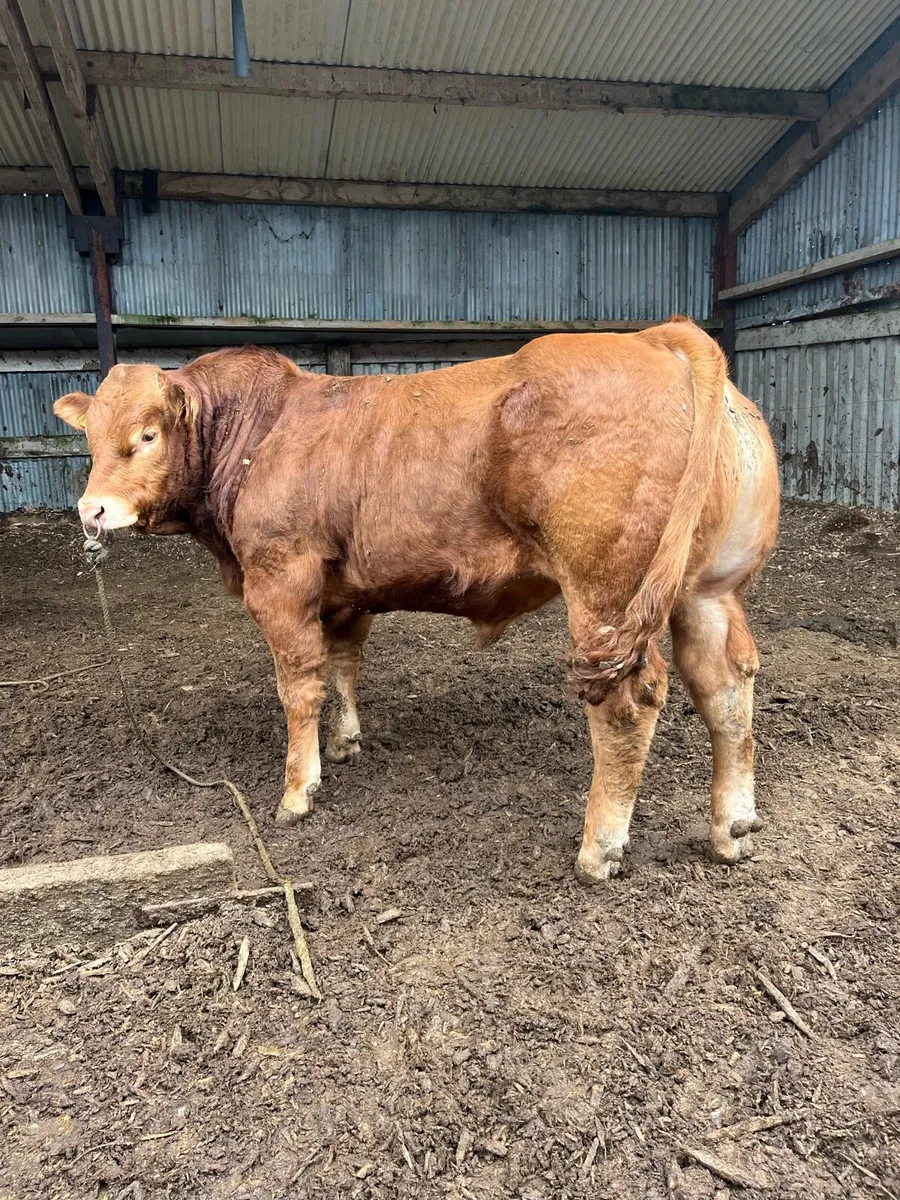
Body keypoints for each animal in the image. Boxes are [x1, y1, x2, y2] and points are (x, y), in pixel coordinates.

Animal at [54, 318, 779, 884]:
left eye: (147, 435)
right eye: (89, 436)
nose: (92, 510)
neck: (256, 434)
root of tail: (659, 339)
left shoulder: (281, 576)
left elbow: (299, 685)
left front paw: (298, 789)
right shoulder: (344, 592)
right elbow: (343, 666)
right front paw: (345, 740)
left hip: (607, 594)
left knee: (629, 703)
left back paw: (598, 849)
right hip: (708, 589)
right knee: (725, 685)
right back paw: (732, 826)